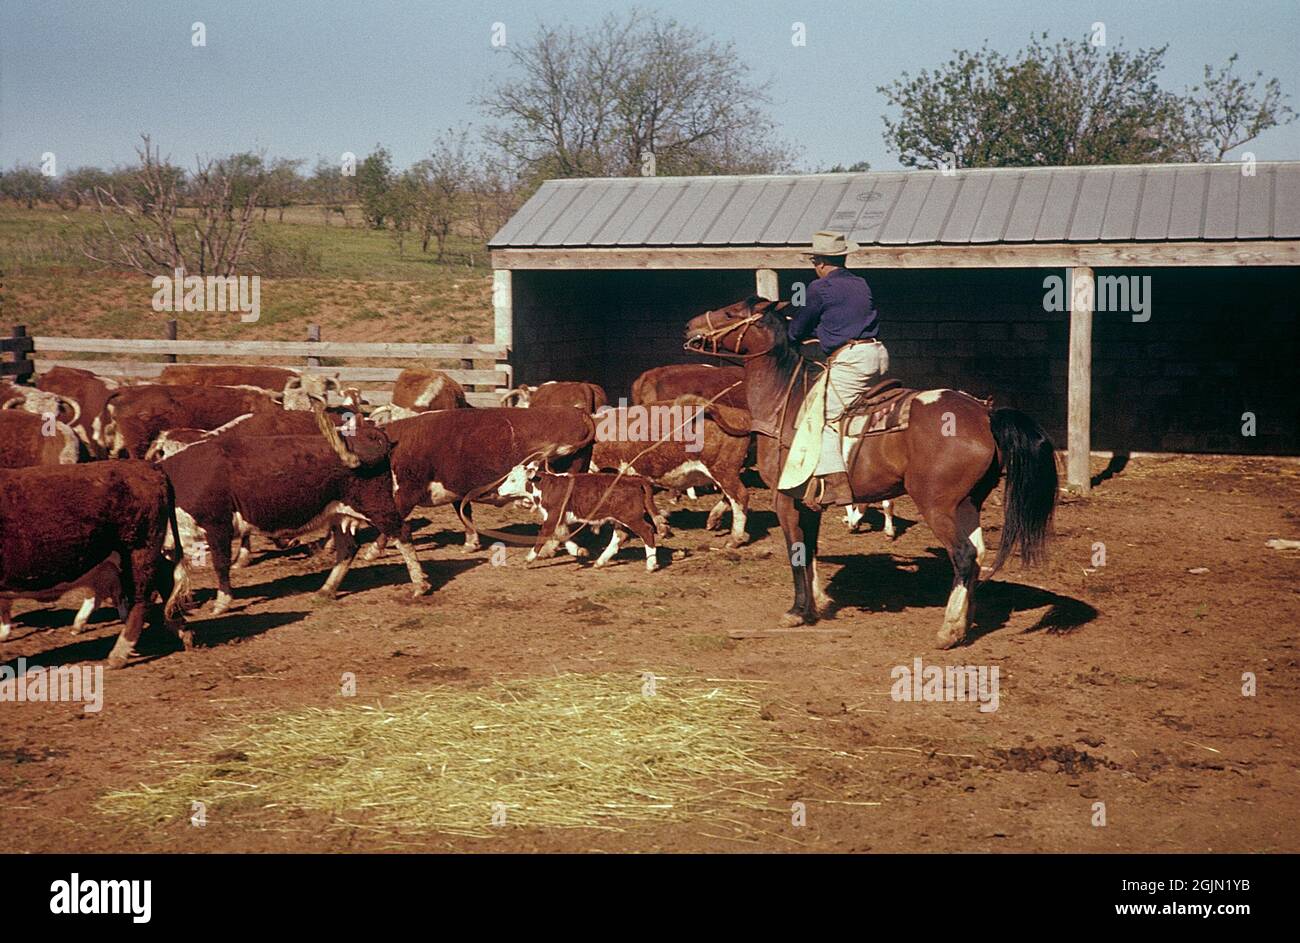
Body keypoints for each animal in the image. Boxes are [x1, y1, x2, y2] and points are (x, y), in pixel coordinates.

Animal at [0, 457, 189, 665]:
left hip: (139, 551)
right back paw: (181, 629)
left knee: (142, 598)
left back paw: (119, 654)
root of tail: (148, 466)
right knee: (165, 578)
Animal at [158, 408, 426, 613]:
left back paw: (420, 586)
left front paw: (221, 603)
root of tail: (371, 435)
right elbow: (177, 573)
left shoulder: (217, 527)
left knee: (402, 532)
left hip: (377, 507)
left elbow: (220, 565)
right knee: (348, 548)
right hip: (339, 514)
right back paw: (326, 590)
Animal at [493, 460, 660, 569]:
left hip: (631, 517)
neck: (545, 486)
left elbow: (544, 535)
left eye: (513, 480)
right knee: (620, 536)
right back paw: (599, 562)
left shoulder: (552, 516)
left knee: (647, 531)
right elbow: (562, 535)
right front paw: (579, 551)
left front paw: (529, 558)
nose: (499, 490)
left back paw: (651, 564)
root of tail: (634, 480)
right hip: (620, 519)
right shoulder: (559, 519)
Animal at [681, 296, 1055, 647]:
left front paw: (798, 611)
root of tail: (985, 414)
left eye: (730, 313)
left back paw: (949, 631)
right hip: (969, 503)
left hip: (938, 506)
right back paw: (964, 621)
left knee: (963, 556)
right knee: (977, 555)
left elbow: (796, 552)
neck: (786, 402)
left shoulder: (785, 498)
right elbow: (811, 550)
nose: (689, 326)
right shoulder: (810, 503)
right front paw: (819, 602)